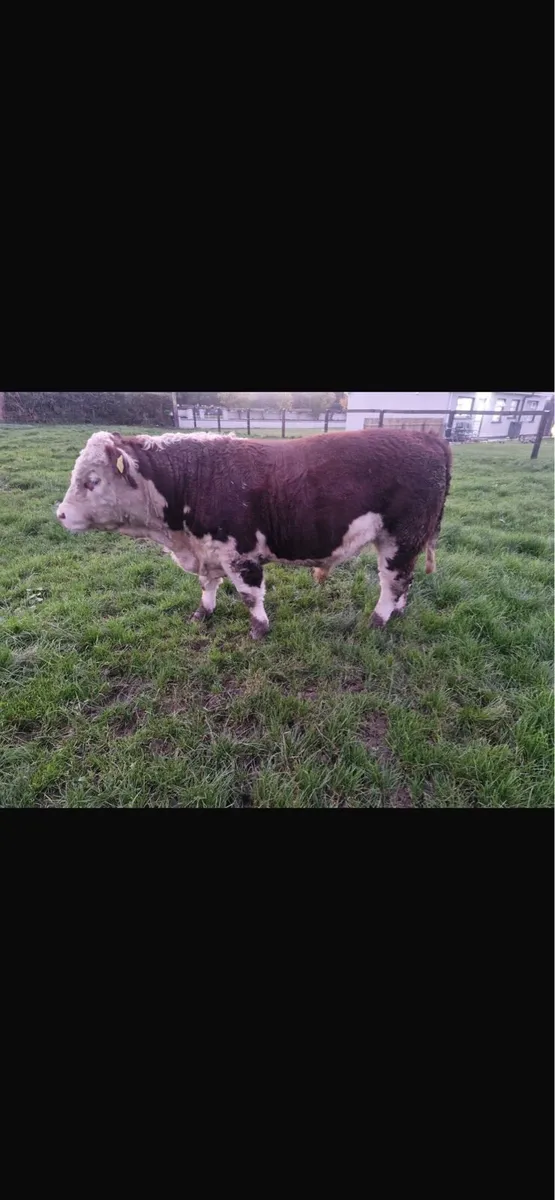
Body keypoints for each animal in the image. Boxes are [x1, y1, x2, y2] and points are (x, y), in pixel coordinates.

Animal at [57, 429, 452, 639]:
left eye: (92, 481)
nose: (60, 514)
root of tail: (425, 435)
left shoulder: (240, 552)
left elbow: (249, 595)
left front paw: (259, 629)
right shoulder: (209, 550)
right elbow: (208, 586)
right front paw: (202, 614)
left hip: (400, 538)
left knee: (392, 582)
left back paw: (378, 620)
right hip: (408, 542)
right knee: (406, 580)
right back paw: (398, 613)